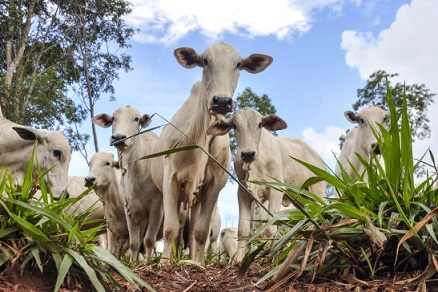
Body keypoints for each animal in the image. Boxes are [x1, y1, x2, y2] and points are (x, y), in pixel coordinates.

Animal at [92, 105, 163, 262]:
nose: (118, 137)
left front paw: (148, 264)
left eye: (136, 119)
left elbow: (149, 240)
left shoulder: (157, 207)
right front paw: (133, 264)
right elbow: (134, 243)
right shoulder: (129, 209)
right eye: (113, 118)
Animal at [151, 41, 274, 264]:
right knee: (178, 228)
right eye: (205, 61)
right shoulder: (170, 179)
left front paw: (198, 264)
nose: (222, 101)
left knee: (191, 231)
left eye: (238, 64)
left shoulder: (214, 185)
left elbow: (200, 231)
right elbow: (170, 228)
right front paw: (164, 263)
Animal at [207, 107, 326, 262]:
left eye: (259, 124)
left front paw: (273, 256)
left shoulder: (276, 190)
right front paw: (239, 259)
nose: (248, 154)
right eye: (234, 126)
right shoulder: (243, 193)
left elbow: (270, 226)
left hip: (317, 192)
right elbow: (243, 229)